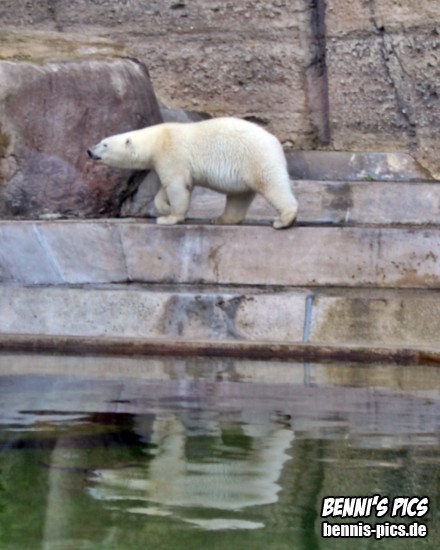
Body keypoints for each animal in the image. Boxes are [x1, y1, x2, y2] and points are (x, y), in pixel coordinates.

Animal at [88, 117, 298, 229]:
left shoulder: (171, 153)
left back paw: (283, 220)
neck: (157, 139)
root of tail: (275, 141)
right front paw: (164, 208)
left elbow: (177, 186)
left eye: (104, 144)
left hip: (255, 157)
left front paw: (169, 218)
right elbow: (167, 188)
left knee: (271, 184)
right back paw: (221, 218)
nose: (89, 151)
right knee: (239, 196)